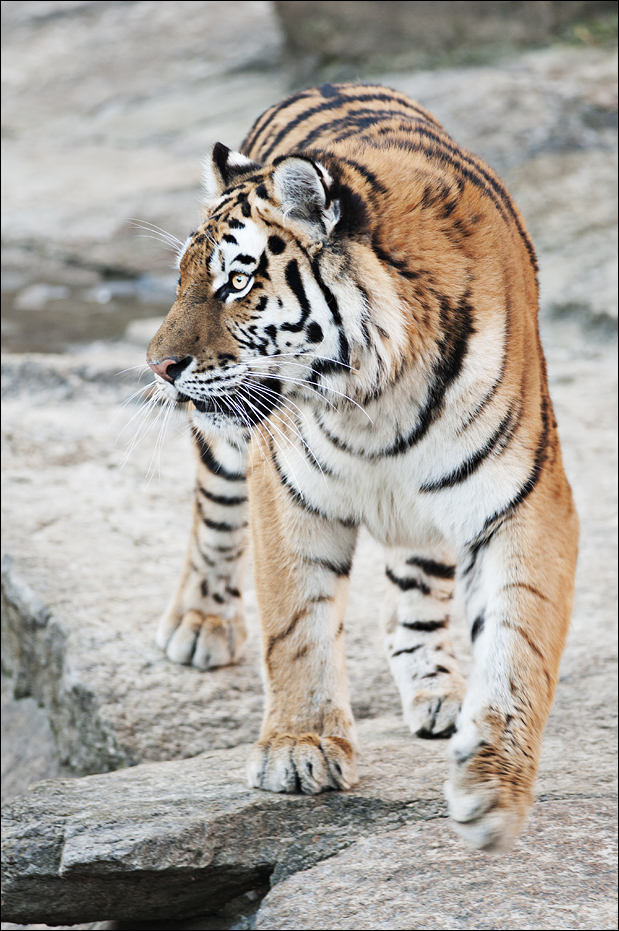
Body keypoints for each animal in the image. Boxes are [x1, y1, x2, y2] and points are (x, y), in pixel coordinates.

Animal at [146, 82, 579, 851]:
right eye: (181, 284)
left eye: (236, 282)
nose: (157, 366)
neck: (375, 396)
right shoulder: (286, 491)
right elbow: (296, 624)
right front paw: (299, 749)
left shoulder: (523, 501)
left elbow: (517, 643)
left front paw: (491, 785)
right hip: (226, 453)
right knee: (213, 520)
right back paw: (199, 623)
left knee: (416, 595)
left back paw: (437, 689)